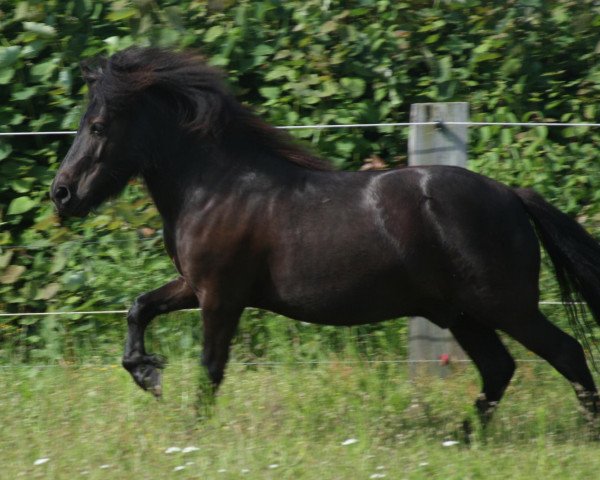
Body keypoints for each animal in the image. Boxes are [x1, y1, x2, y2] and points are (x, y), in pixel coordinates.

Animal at [50, 47, 600, 426]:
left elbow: (210, 366)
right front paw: (147, 373)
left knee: (566, 352)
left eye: (97, 126)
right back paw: (464, 435)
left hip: (505, 306)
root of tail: (511, 195)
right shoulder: (195, 285)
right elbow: (139, 307)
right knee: (499, 368)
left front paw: (190, 428)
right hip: (463, 313)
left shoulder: (221, 296)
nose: (61, 193)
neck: (215, 187)